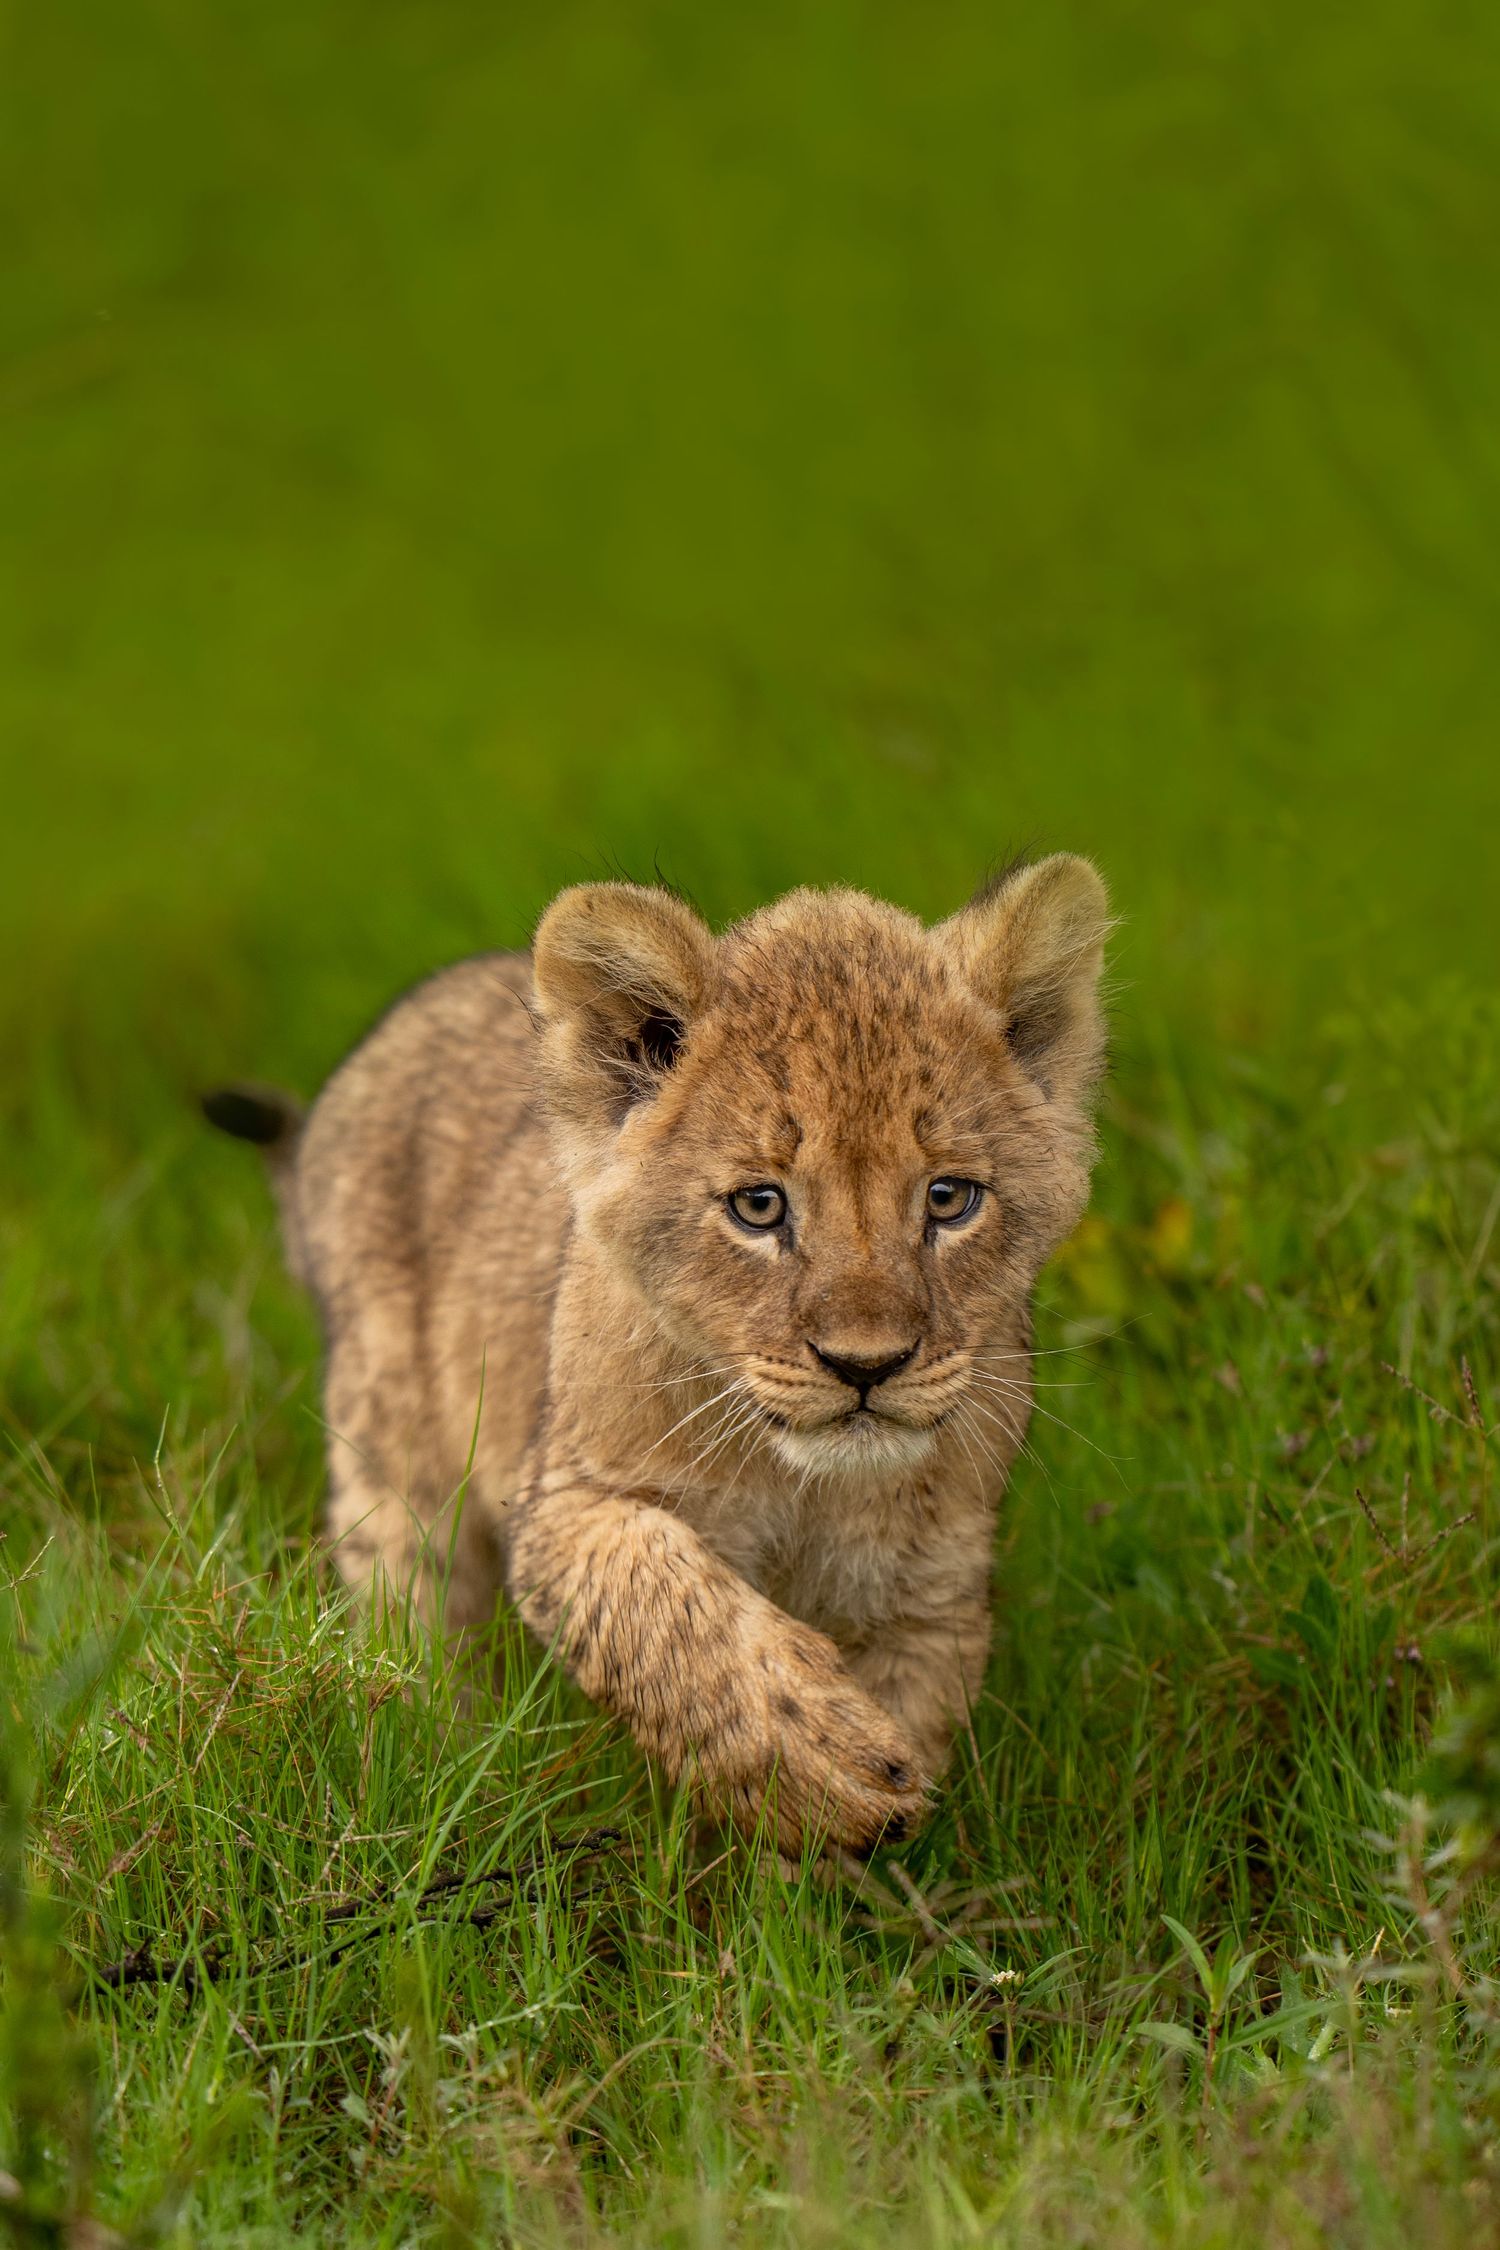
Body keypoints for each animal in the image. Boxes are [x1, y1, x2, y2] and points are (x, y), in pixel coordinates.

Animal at [206, 855, 1110, 1854]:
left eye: (950, 1199)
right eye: (759, 1206)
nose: (866, 1366)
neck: (808, 1489)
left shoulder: (932, 1592)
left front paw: (851, 1854)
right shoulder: (564, 1504)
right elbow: (661, 1600)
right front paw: (823, 1763)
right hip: (391, 1454)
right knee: (412, 1615)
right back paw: (432, 1772)